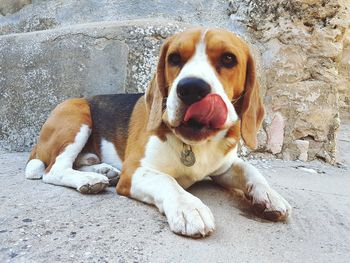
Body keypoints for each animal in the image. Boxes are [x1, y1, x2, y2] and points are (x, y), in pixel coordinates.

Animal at [26, 27, 292, 238]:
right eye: (174, 58)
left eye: (228, 59)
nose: (191, 88)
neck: (195, 144)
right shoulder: (134, 172)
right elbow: (167, 180)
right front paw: (189, 207)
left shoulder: (224, 166)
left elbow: (251, 170)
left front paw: (269, 195)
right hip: (77, 116)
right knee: (53, 170)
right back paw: (89, 180)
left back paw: (101, 170)